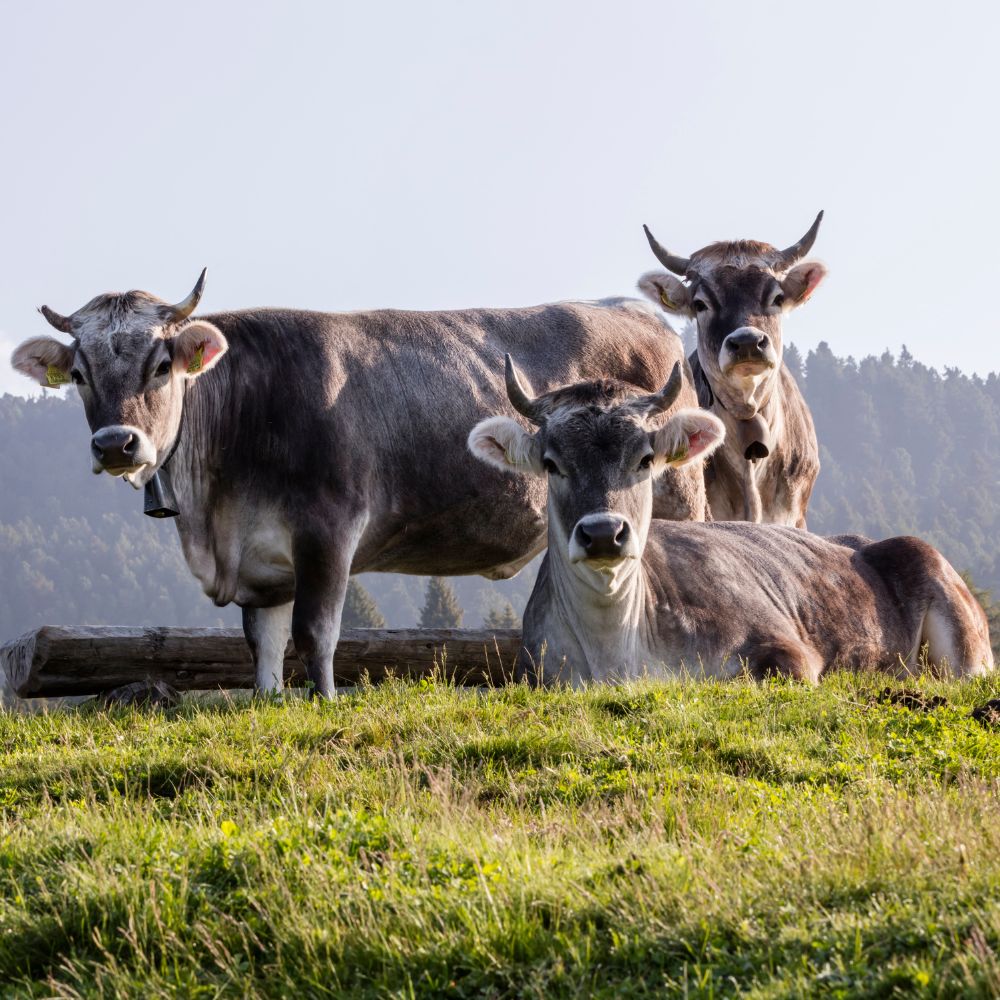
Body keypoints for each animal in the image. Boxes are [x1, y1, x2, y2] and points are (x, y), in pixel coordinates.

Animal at [11, 274, 708, 696]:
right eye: (79, 374)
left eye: (161, 365)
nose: (116, 445)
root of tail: (633, 309)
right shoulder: (262, 563)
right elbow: (262, 644)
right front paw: (268, 702)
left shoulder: (329, 529)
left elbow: (315, 632)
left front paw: (321, 701)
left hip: (678, 499)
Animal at [470, 362, 992, 688]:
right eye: (551, 463)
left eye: (645, 459)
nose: (602, 533)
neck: (616, 650)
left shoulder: (788, 651)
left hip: (959, 633)